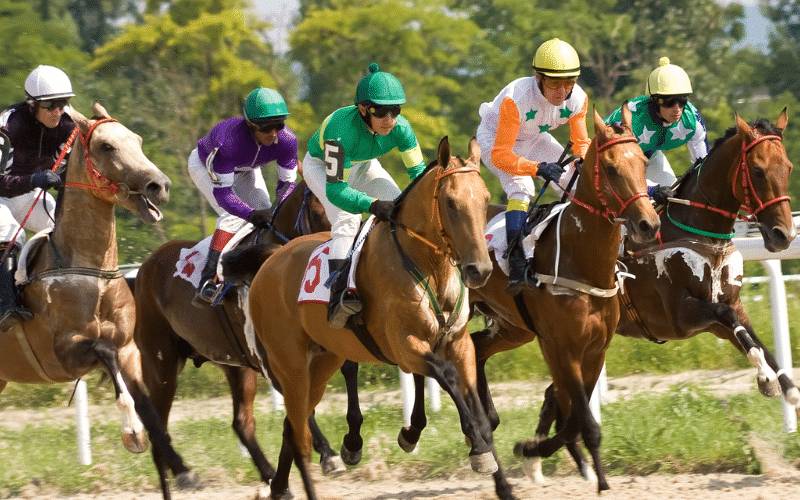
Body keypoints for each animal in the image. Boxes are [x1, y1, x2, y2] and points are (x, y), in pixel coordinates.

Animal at [0, 102, 193, 499]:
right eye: (106, 146)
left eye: (137, 140)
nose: (160, 186)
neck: (92, 273)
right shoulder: (64, 354)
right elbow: (106, 355)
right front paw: (131, 433)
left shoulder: (130, 349)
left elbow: (149, 408)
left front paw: (179, 467)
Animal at [132, 178, 345, 494]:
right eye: (319, 211)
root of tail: (146, 266)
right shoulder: (272, 360)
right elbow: (301, 407)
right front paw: (329, 455)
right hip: (161, 364)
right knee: (158, 425)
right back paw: (184, 473)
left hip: (235, 365)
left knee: (241, 423)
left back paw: (270, 475)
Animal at [243, 136, 519, 500]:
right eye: (450, 202)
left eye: (486, 198)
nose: (480, 269)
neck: (428, 266)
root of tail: (270, 260)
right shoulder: (405, 347)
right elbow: (447, 376)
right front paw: (476, 449)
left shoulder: (460, 345)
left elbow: (478, 409)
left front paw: (501, 481)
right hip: (289, 364)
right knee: (300, 434)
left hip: (323, 361)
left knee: (293, 426)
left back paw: (280, 485)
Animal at [529, 110, 798, 480]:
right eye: (758, 170)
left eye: (787, 166)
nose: (783, 235)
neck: (696, 230)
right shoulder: (681, 316)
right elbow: (736, 327)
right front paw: (765, 378)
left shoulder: (726, 310)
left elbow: (756, 340)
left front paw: (788, 388)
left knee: (554, 393)